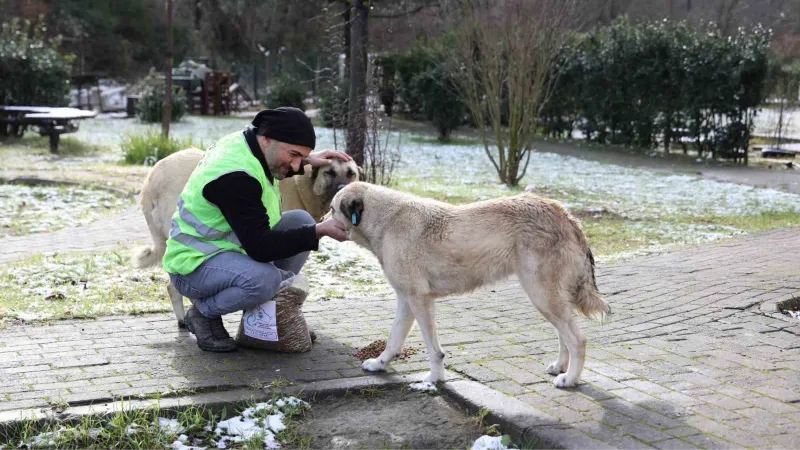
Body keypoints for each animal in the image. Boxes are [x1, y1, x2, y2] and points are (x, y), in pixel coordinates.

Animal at [134, 148, 360, 326]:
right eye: (330, 172)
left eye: (351, 173)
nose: (342, 189)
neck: (303, 187)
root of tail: (151, 180)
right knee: (174, 286)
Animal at [328, 182, 608, 386]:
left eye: (332, 209)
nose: (320, 219)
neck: (386, 221)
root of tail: (565, 215)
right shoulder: (406, 301)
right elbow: (394, 339)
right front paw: (379, 364)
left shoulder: (419, 300)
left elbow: (433, 350)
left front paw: (434, 379)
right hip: (548, 299)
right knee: (564, 336)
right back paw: (560, 368)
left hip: (542, 296)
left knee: (578, 340)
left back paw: (569, 379)